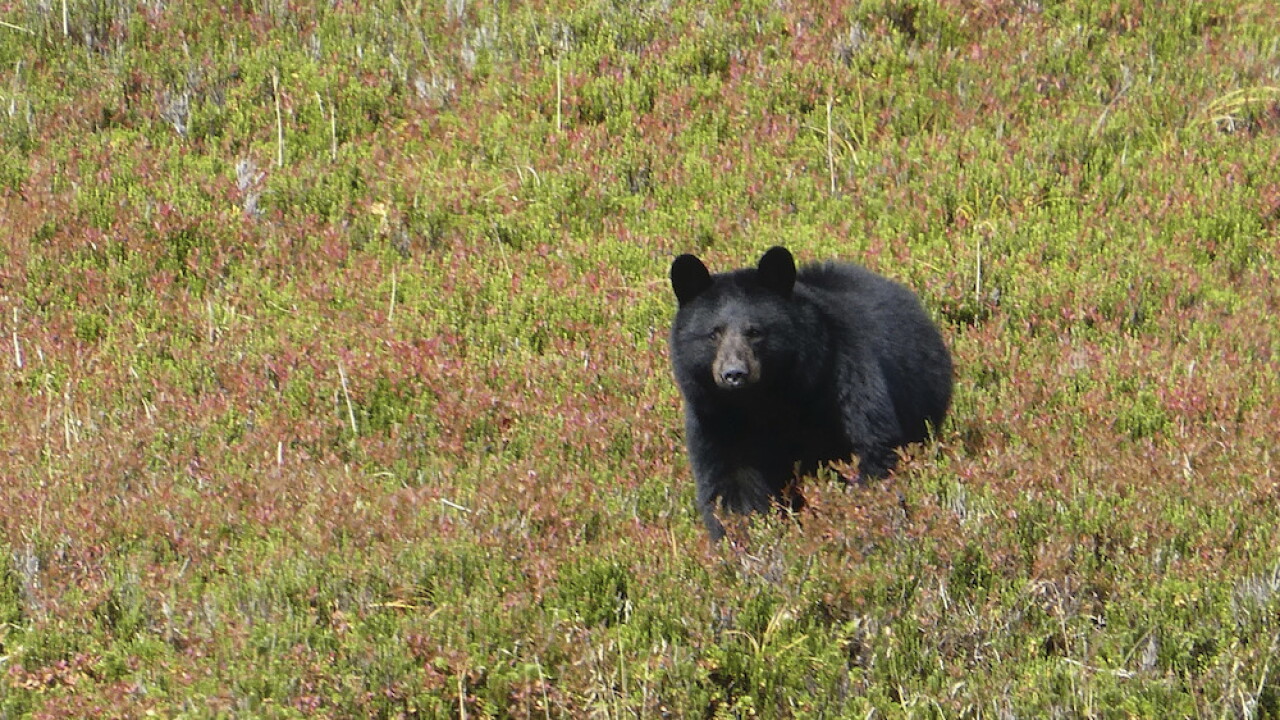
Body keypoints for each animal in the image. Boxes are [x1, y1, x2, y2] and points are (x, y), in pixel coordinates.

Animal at [669, 246, 953, 541]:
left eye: (755, 331)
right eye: (714, 333)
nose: (734, 374)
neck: (765, 402)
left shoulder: (842, 379)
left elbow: (870, 448)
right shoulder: (716, 421)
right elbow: (732, 482)